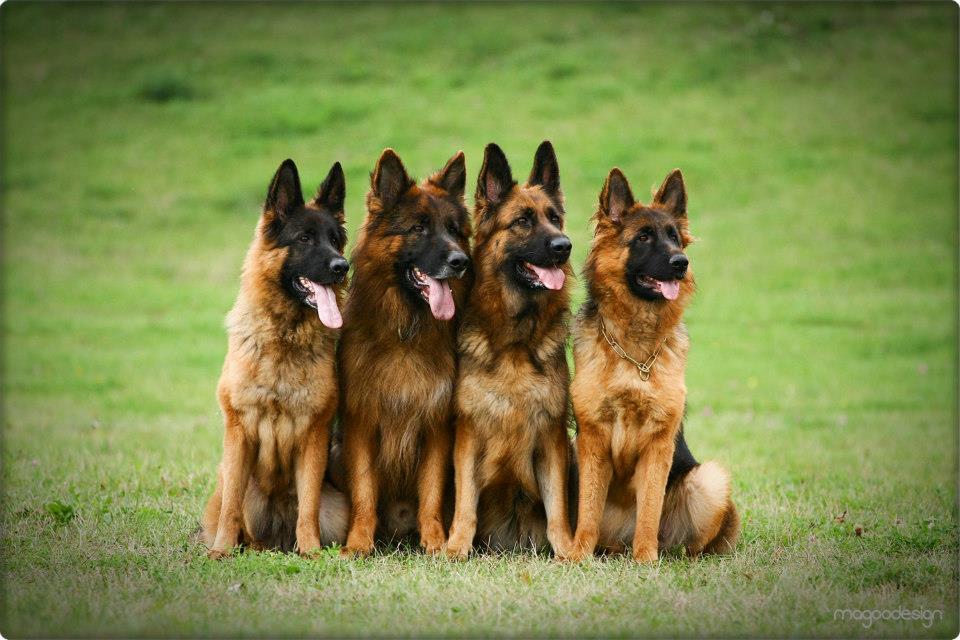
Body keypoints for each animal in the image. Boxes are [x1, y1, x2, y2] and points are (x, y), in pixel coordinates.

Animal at [202, 159, 350, 558]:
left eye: (336, 240)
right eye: (304, 239)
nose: (342, 266)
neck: (285, 338)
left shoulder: (313, 435)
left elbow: (309, 505)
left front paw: (311, 551)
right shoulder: (238, 432)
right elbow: (231, 508)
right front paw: (221, 551)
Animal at [335, 149, 471, 556]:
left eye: (453, 229)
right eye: (418, 229)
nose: (461, 261)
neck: (404, 336)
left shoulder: (435, 425)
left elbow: (430, 492)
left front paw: (435, 541)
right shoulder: (362, 424)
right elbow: (364, 490)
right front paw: (359, 542)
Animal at [445, 141, 575, 559]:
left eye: (555, 219)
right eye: (522, 221)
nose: (564, 246)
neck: (516, 340)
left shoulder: (551, 438)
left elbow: (557, 509)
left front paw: (568, 550)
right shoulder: (468, 437)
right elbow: (465, 503)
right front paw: (456, 547)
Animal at [567, 167, 739, 562]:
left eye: (674, 237)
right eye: (644, 237)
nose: (681, 263)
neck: (635, 351)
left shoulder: (658, 444)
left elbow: (649, 508)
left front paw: (645, 558)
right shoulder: (592, 439)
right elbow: (587, 510)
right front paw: (577, 554)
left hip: (709, 479)